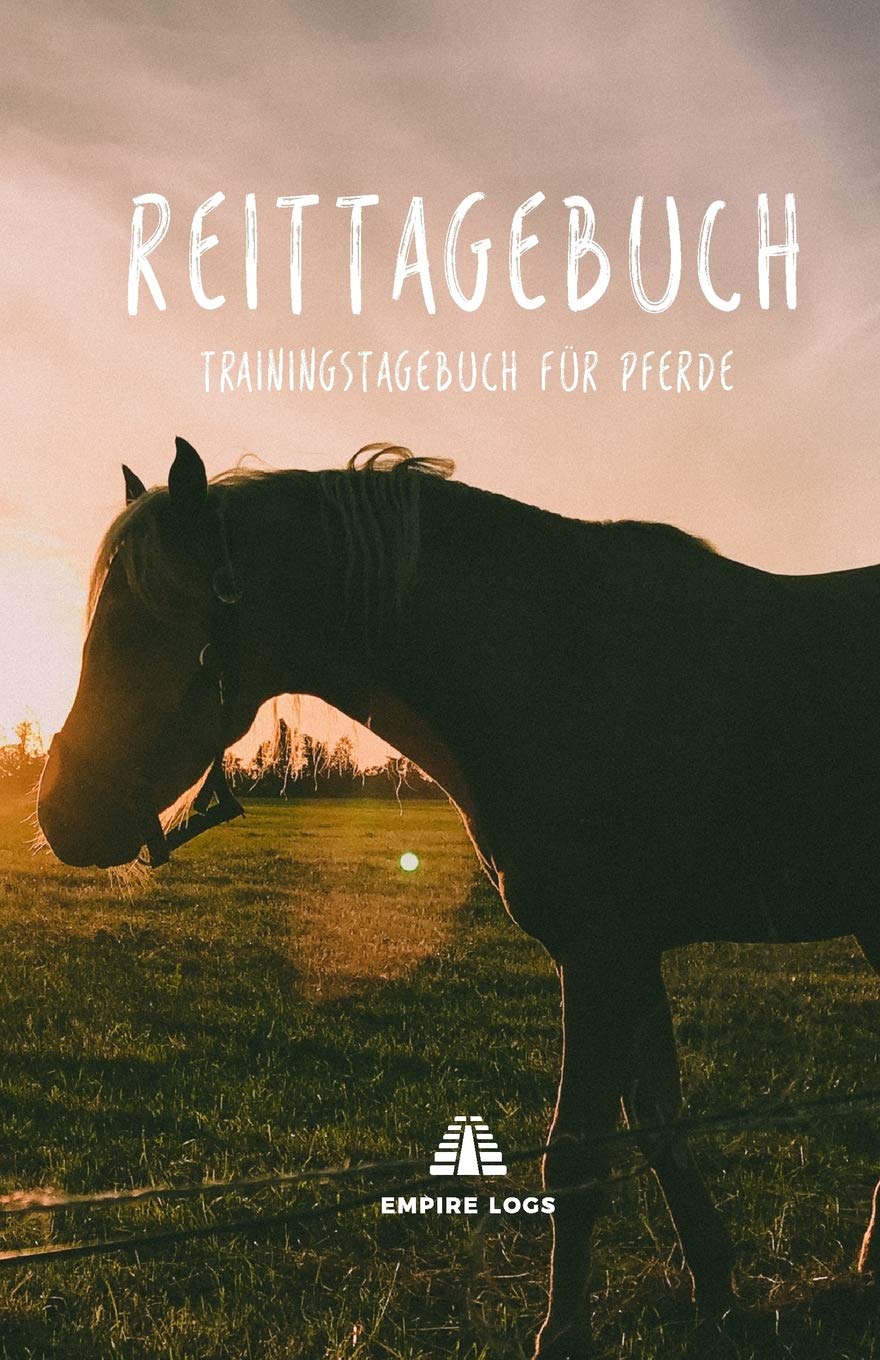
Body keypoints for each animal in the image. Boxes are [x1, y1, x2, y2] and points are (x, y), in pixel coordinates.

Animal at [37, 436, 880, 1359]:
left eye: (145, 623)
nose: (58, 812)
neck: (560, 665)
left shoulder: (598, 953)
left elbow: (577, 1157)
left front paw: (565, 1333)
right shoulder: (628, 957)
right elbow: (658, 1125)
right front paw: (720, 1293)